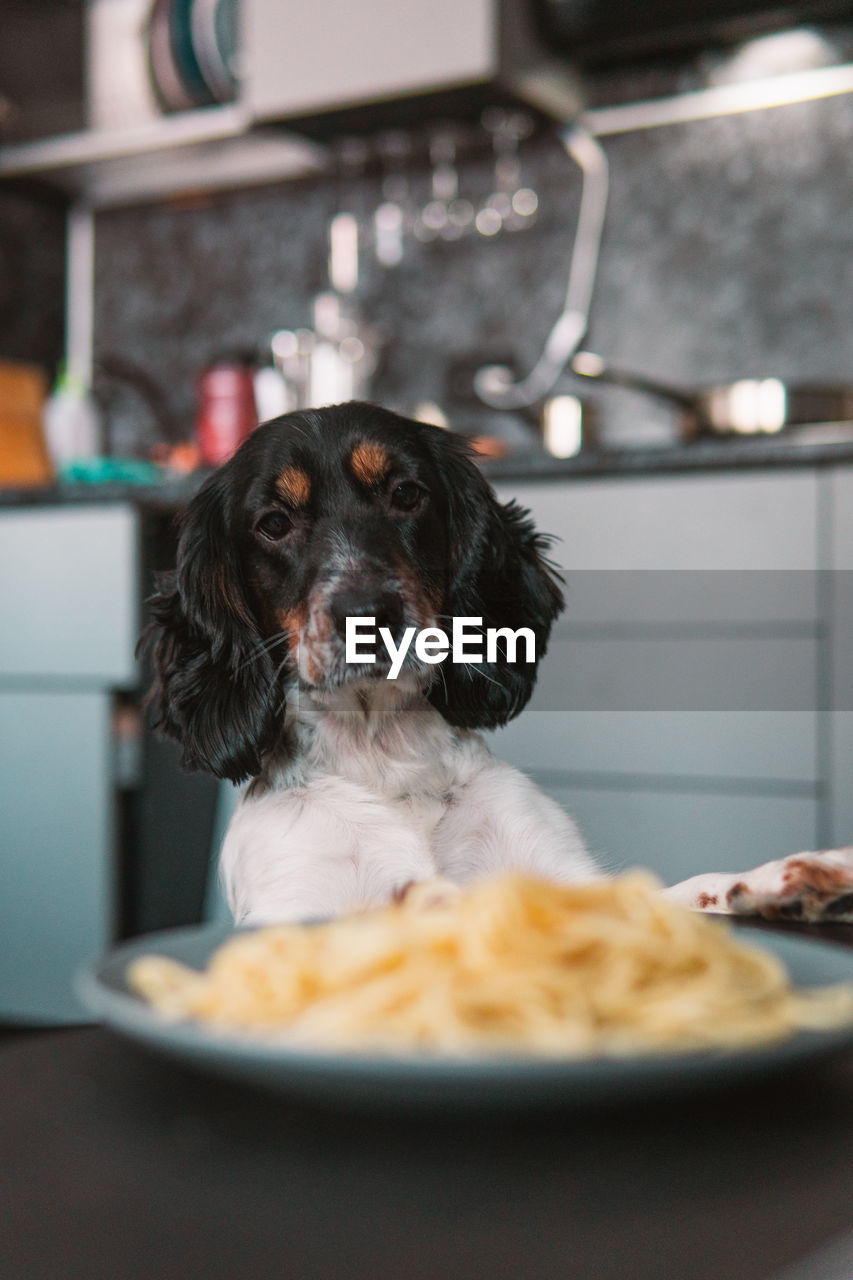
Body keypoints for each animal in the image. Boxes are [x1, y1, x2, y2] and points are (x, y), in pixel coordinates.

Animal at [142, 404, 850, 926]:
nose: (367, 612)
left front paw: (781, 880)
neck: (384, 760)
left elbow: (683, 892)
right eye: (273, 523)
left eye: (407, 494)